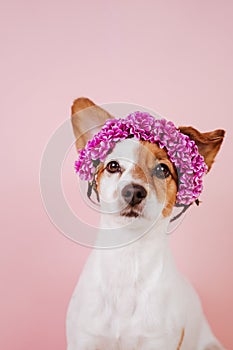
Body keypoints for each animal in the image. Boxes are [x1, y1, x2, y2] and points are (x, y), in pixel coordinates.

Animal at [66, 97, 226, 348]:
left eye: (162, 169)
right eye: (113, 166)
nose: (133, 191)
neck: (128, 254)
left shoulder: (158, 341)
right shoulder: (85, 338)